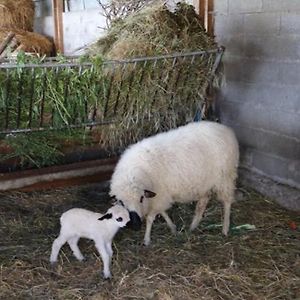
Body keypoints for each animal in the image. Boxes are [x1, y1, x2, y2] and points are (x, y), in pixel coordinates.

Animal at [109, 120, 239, 245]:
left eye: (141, 198)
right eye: (121, 202)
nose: (135, 225)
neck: (133, 171)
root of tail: (226, 130)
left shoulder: (159, 195)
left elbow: (151, 218)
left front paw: (147, 239)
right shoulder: (159, 196)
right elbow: (163, 212)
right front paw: (173, 227)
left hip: (225, 177)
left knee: (227, 202)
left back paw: (225, 228)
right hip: (205, 181)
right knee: (203, 202)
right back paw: (193, 226)